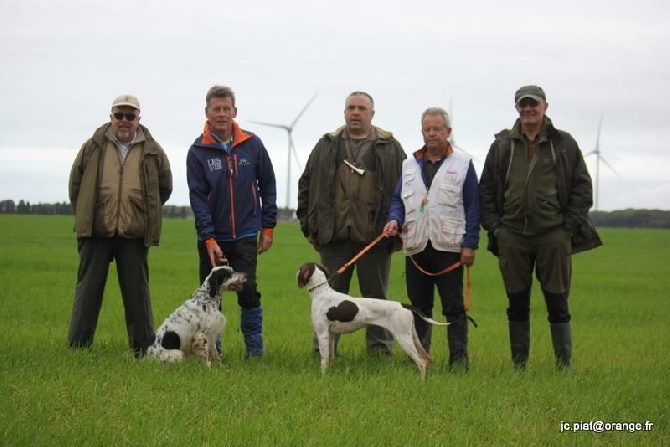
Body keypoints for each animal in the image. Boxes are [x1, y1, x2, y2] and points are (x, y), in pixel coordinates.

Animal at [300, 262, 452, 382]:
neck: (321, 292)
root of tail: (404, 305)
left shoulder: (322, 334)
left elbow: (323, 360)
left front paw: (322, 377)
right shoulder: (330, 334)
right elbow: (330, 358)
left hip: (403, 338)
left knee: (421, 362)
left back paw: (421, 382)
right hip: (413, 336)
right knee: (427, 358)